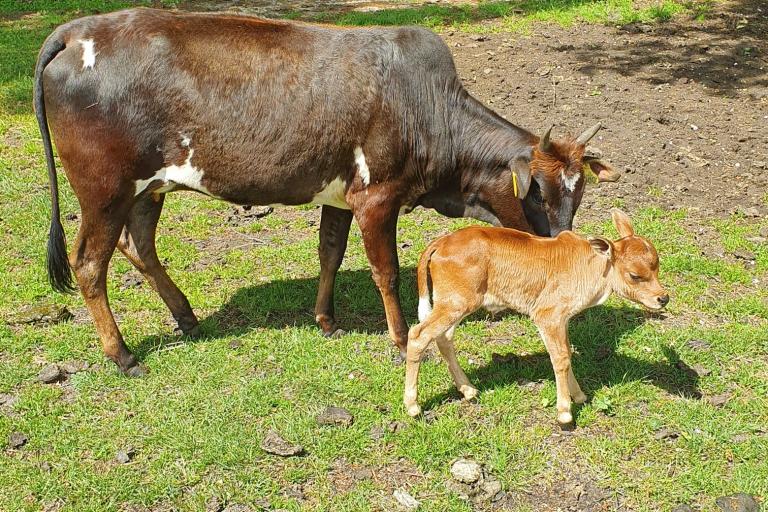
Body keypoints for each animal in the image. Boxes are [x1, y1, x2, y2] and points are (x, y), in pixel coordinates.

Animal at [34, 9, 616, 376]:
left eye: (578, 194)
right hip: (104, 189)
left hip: (148, 187)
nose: (566, 242)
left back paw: (185, 315)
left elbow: (329, 254)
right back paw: (122, 354)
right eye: (538, 192)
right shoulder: (378, 198)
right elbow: (385, 270)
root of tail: (74, 32)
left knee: (139, 245)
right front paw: (399, 338)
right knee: (90, 264)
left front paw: (326, 319)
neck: (428, 110)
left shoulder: (340, 198)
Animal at [404, 208, 668, 424]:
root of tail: (442, 241)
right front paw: (565, 412)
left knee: (443, 337)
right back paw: (413, 406)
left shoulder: (563, 319)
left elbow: (566, 352)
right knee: (418, 335)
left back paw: (468, 389)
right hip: (455, 303)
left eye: (657, 267)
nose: (663, 298)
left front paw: (579, 395)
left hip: (455, 303)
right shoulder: (547, 315)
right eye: (635, 275)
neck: (589, 268)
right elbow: (560, 358)